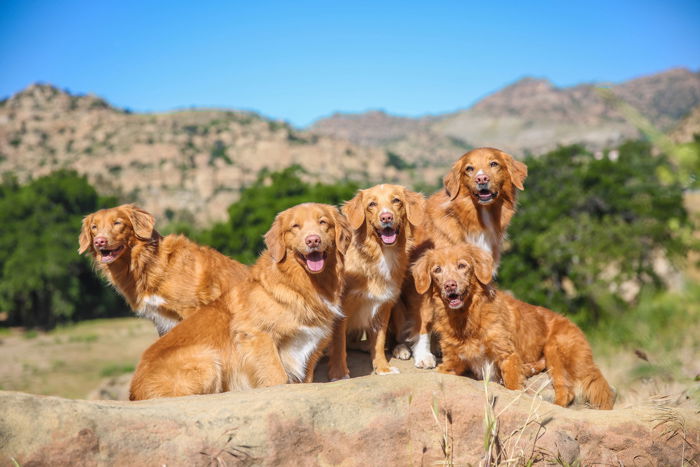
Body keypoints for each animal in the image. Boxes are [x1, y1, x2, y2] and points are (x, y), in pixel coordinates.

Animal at [78, 205, 247, 336]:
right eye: (94, 227)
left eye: (118, 223)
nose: (99, 241)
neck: (149, 263)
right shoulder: (162, 319)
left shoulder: (191, 309)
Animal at [128, 203, 350, 400]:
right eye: (295, 226)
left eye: (323, 222)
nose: (313, 240)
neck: (301, 286)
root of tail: (133, 390)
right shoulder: (256, 335)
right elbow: (277, 376)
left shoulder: (312, 345)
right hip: (208, 359)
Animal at [328, 183, 426, 380]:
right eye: (372, 204)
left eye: (396, 200)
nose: (386, 217)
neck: (381, 254)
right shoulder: (341, 309)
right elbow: (339, 344)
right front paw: (339, 373)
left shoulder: (384, 305)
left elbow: (379, 341)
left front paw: (382, 367)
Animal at [412, 243, 616, 412]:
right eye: (437, 270)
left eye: (462, 266)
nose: (450, 285)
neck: (466, 319)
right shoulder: (452, 363)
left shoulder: (507, 356)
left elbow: (512, 385)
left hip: (555, 349)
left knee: (566, 392)